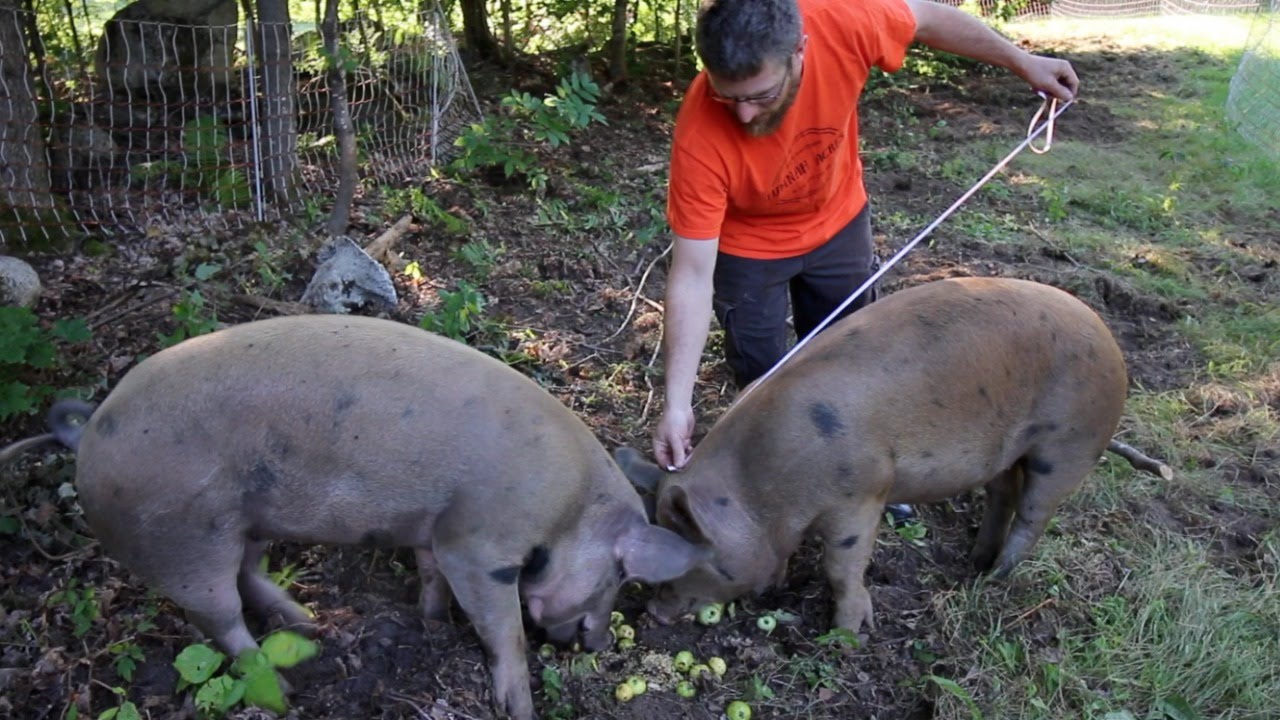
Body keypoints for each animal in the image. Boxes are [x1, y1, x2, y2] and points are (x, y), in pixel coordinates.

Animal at [22, 313, 701, 717]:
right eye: (618, 578)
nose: (595, 641)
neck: (566, 509)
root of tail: (89, 434)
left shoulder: (435, 527)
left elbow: (429, 573)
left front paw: (429, 622)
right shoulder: (479, 545)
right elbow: (502, 626)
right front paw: (519, 707)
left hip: (248, 521)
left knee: (249, 577)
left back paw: (311, 623)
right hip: (182, 542)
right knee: (220, 619)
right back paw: (286, 688)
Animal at [614, 274, 1126, 632]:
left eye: (705, 560)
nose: (655, 613)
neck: (760, 489)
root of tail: (1109, 340)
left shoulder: (860, 491)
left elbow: (842, 564)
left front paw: (848, 634)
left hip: (1069, 442)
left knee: (1035, 513)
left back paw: (996, 577)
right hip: (1008, 450)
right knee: (1004, 492)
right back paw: (976, 563)